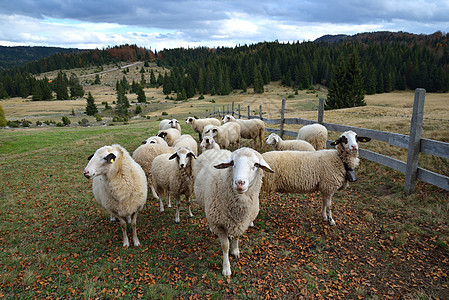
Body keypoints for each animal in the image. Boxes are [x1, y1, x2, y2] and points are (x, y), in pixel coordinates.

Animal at [195, 148, 274, 276]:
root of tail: (214, 149)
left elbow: (237, 236)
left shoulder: (241, 223)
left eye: (256, 165)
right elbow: (225, 246)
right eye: (232, 163)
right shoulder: (219, 224)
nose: (239, 183)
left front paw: (235, 250)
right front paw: (226, 268)